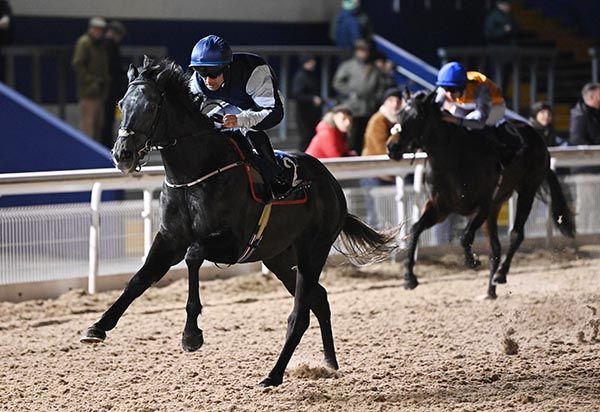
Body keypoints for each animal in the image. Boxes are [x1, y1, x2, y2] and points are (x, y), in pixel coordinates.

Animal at [78, 58, 398, 386]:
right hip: (280, 257)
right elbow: (140, 278)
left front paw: (191, 334)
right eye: (121, 103)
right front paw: (98, 326)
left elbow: (193, 254)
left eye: (152, 105)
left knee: (300, 314)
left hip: (313, 250)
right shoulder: (169, 238)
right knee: (318, 298)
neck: (196, 171)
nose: (122, 154)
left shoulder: (233, 243)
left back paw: (273, 375)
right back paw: (329, 362)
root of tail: (332, 183)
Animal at [386, 90, 576, 298]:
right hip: (496, 207)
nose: (391, 147)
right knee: (496, 247)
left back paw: (500, 275)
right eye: (399, 114)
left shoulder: (482, 205)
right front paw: (409, 278)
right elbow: (415, 229)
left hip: (527, 190)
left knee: (516, 234)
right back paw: (490, 291)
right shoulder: (440, 208)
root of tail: (537, 136)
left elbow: (465, 236)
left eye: (416, 117)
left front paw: (473, 261)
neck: (452, 157)